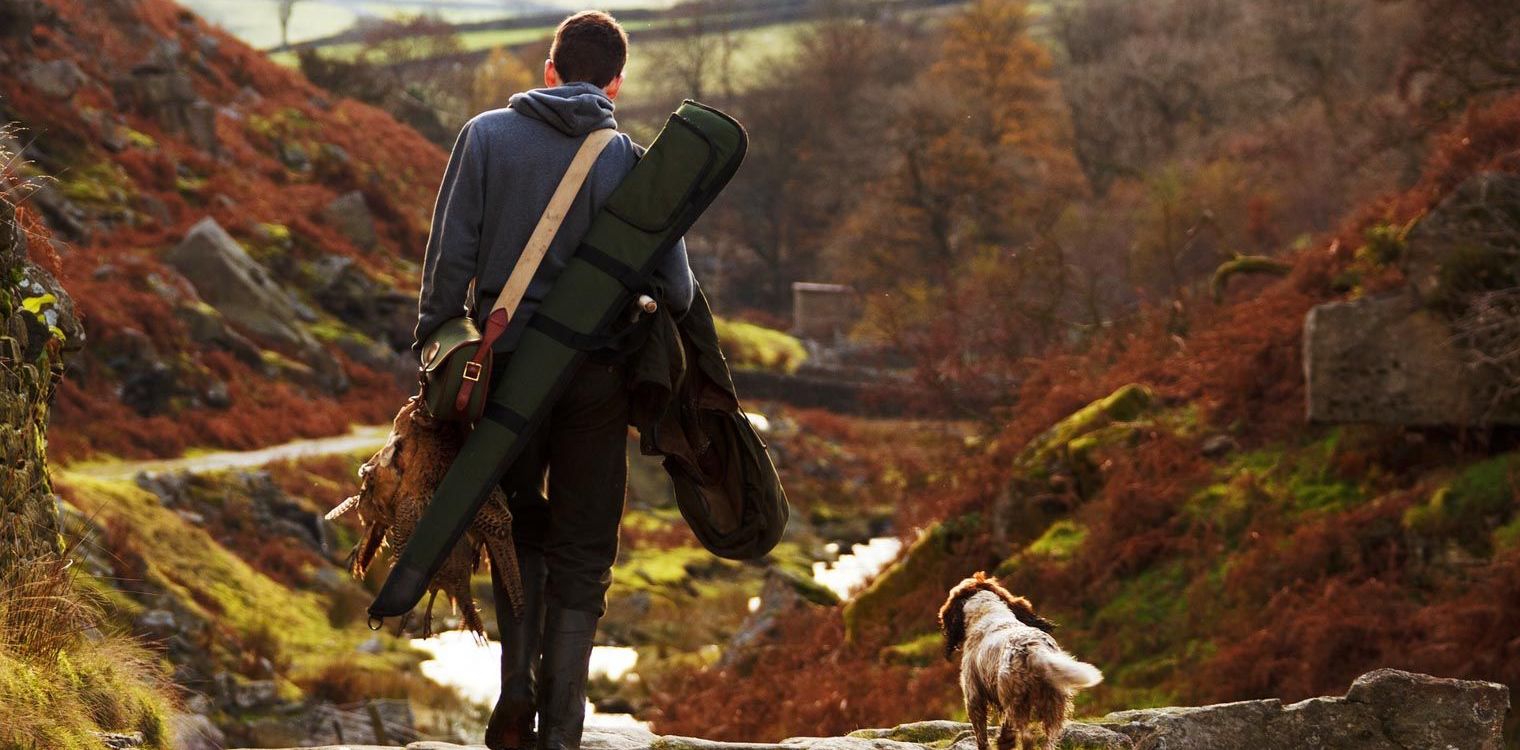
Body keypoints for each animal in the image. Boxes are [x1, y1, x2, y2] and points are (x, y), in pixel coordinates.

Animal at [936, 572, 1106, 748]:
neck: (988, 612)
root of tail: (1035, 648)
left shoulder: (974, 696)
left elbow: (981, 735)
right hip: (1053, 707)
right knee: (1047, 741)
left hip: (1016, 703)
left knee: (1027, 737)